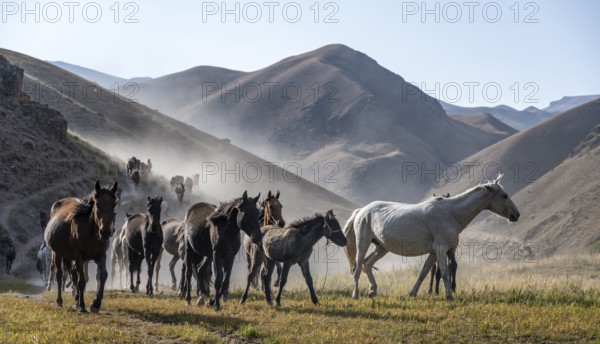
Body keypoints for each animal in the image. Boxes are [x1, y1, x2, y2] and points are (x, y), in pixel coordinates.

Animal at [44, 180, 118, 312]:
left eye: (114, 204)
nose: (105, 232)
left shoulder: (100, 255)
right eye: (97, 204)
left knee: (73, 274)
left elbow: (103, 275)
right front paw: (82, 305)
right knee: (60, 275)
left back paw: (76, 299)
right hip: (58, 253)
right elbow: (82, 280)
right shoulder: (79, 256)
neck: (91, 233)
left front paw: (95, 304)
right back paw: (60, 301)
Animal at [344, 176, 516, 300]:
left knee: (367, 263)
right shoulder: (441, 250)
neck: (451, 214)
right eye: (504, 195)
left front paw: (413, 293)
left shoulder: (434, 253)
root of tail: (362, 210)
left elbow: (423, 273)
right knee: (358, 269)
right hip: (363, 243)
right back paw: (355, 294)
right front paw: (449, 296)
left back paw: (373, 291)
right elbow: (445, 273)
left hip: (382, 247)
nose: (516, 214)